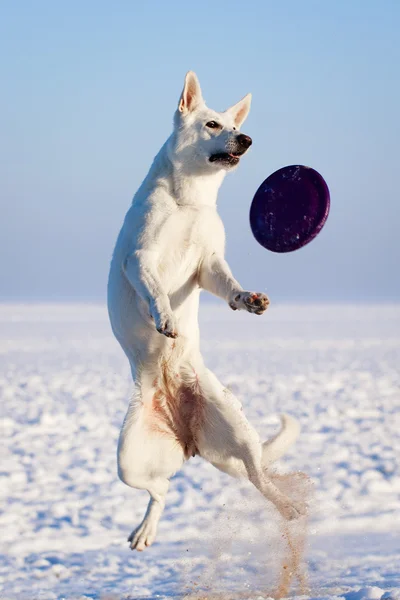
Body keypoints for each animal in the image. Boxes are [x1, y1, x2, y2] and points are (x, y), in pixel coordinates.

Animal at [107, 72, 304, 552]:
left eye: (234, 126)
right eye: (212, 124)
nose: (246, 139)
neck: (189, 201)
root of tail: (188, 437)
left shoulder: (208, 265)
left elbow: (228, 285)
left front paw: (249, 300)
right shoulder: (140, 260)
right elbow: (156, 290)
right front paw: (165, 318)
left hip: (238, 435)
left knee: (258, 477)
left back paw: (289, 505)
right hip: (130, 462)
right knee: (161, 489)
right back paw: (145, 530)